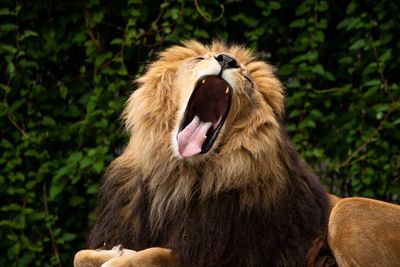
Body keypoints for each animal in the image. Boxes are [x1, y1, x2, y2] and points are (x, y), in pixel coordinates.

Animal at [73, 40, 398, 267]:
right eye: (198, 59)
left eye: (248, 80)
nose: (226, 59)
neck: (179, 177)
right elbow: (81, 254)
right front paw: (117, 252)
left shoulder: (226, 254)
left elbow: (155, 255)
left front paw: (120, 259)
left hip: (346, 210)